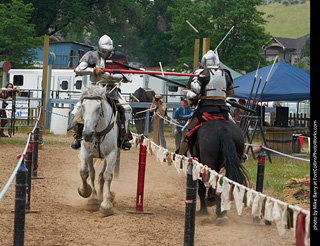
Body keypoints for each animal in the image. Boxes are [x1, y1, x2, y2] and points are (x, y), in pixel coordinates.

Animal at [77, 84, 119, 215]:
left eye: (98, 107)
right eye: (83, 106)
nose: (87, 134)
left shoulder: (111, 154)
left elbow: (107, 176)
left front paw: (106, 205)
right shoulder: (85, 152)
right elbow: (84, 172)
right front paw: (86, 192)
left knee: (102, 175)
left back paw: (102, 196)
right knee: (93, 174)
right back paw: (95, 197)